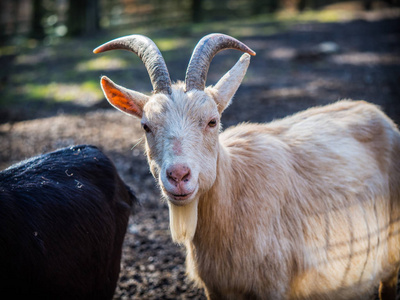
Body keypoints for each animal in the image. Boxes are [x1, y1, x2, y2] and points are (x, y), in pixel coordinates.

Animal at [94, 33, 400, 300]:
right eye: (146, 126)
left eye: (212, 121)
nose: (178, 176)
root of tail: (380, 116)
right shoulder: (215, 289)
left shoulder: (273, 287)